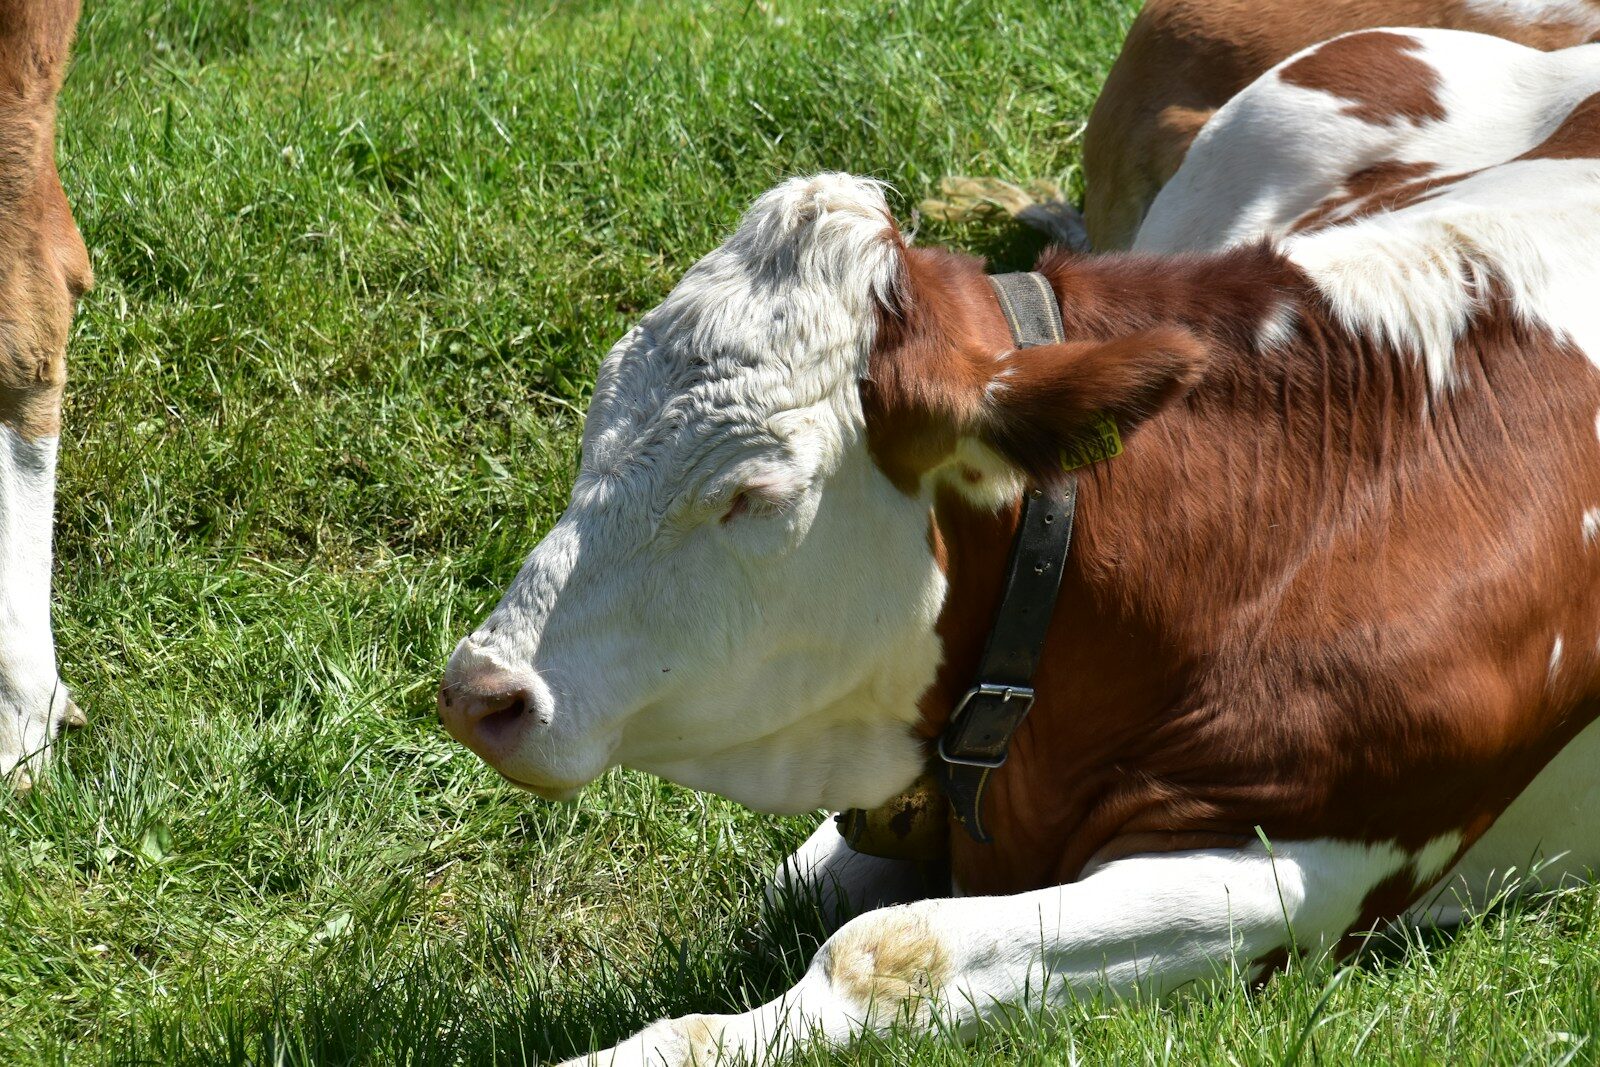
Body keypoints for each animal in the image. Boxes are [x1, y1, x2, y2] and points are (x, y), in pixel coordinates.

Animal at [438, 30, 1600, 1067]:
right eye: (600, 414)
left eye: (752, 493)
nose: (480, 690)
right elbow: (796, 884)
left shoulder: (1315, 866)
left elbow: (885, 949)